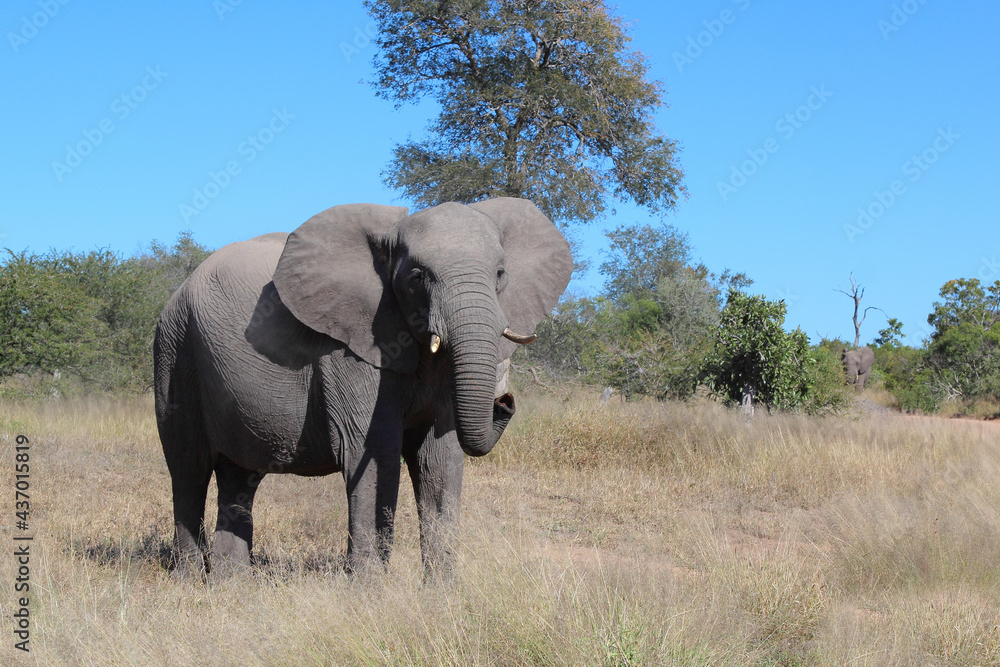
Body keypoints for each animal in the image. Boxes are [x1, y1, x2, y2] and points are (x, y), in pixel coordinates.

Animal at [154, 198, 572, 579]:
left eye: (500, 273)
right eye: (417, 277)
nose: (505, 401)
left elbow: (437, 460)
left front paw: (441, 595)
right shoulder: (349, 350)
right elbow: (375, 455)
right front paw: (371, 593)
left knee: (239, 475)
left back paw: (231, 585)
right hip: (175, 352)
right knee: (189, 470)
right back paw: (190, 581)